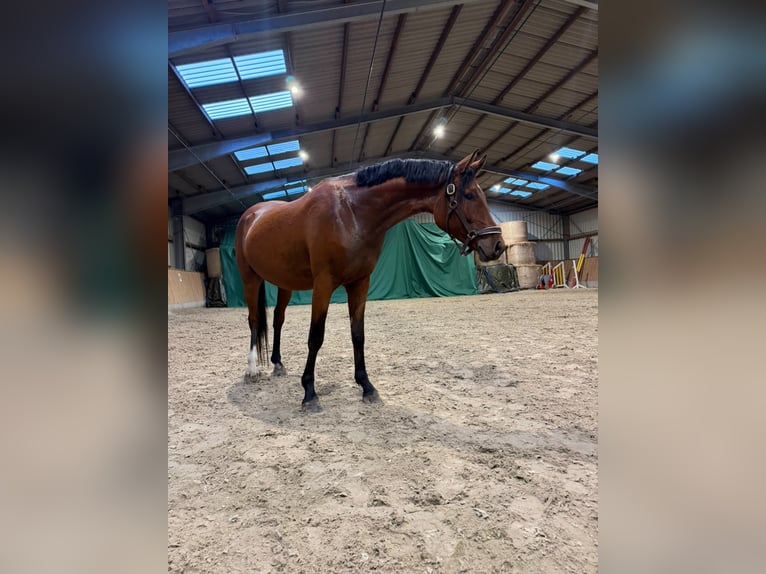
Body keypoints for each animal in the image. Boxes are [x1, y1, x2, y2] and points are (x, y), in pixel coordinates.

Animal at [234, 149, 505, 411]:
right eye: (469, 195)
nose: (497, 245)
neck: (350, 212)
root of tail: (250, 215)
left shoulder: (360, 283)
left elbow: (358, 334)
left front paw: (366, 386)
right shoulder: (323, 284)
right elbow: (316, 336)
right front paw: (309, 393)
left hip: (285, 284)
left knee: (277, 320)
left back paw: (277, 364)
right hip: (250, 279)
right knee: (254, 320)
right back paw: (251, 369)